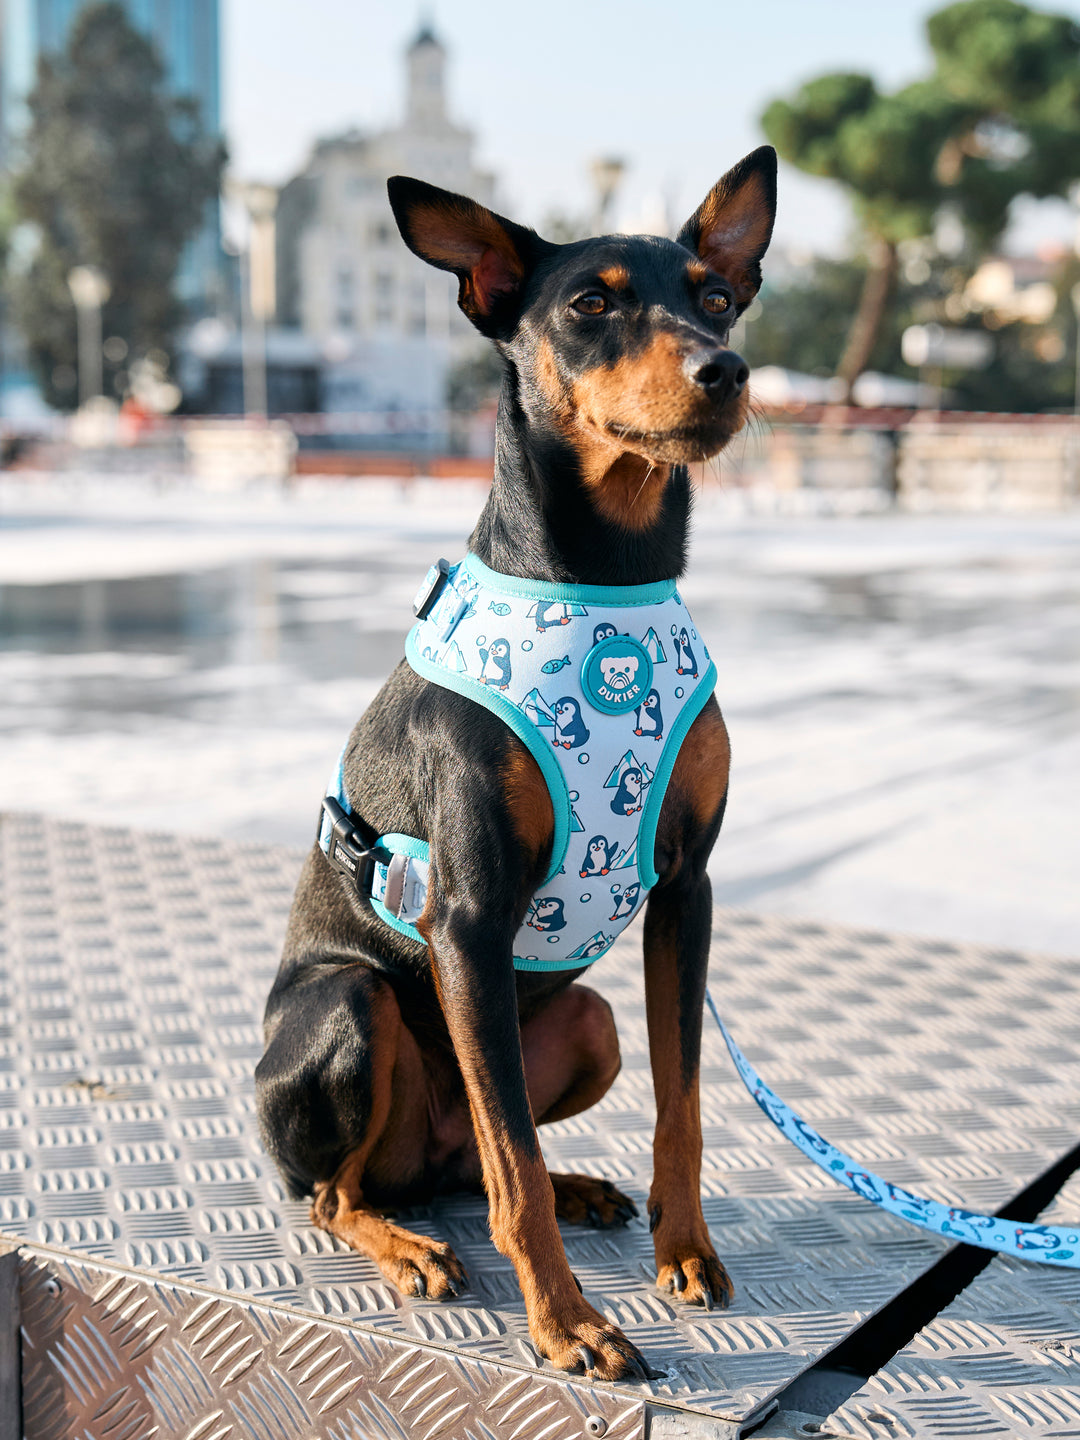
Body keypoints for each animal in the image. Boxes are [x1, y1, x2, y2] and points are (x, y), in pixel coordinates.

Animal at [253, 149, 777, 1382]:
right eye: (591, 303)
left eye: (716, 296)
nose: (725, 370)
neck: (607, 579)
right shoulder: (468, 917)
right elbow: (515, 1172)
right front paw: (569, 1323)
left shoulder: (688, 893)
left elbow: (683, 1105)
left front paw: (685, 1252)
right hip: (352, 1005)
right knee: (350, 1189)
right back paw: (406, 1248)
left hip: (581, 1025)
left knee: (473, 1156)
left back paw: (580, 1188)